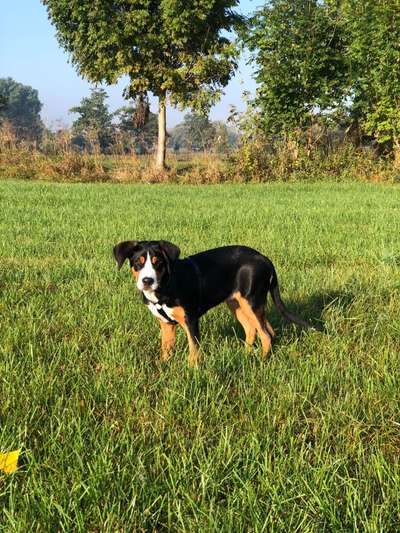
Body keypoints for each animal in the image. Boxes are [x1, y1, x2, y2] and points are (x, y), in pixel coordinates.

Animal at [112, 241, 310, 366]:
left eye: (158, 263)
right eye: (137, 262)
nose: (147, 280)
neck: (166, 285)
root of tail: (265, 259)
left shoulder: (191, 320)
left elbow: (194, 350)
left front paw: (192, 372)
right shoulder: (166, 324)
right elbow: (166, 349)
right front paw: (164, 368)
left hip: (251, 301)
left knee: (266, 334)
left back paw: (261, 361)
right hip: (237, 304)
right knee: (252, 329)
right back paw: (246, 355)